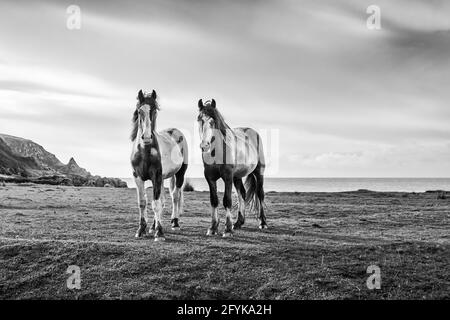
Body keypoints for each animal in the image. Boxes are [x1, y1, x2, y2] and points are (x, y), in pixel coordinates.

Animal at [130, 89, 188, 240]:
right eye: (139, 111)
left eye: (154, 110)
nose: (146, 137)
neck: (145, 152)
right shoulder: (138, 177)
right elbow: (143, 203)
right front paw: (141, 229)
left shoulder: (156, 176)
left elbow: (155, 204)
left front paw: (160, 233)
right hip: (161, 179)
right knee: (162, 200)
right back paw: (153, 226)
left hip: (180, 174)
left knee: (175, 196)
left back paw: (175, 223)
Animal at [197, 98, 268, 238]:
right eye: (200, 120)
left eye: (213, 121)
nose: (204, 145)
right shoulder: (210, 178)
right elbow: (214, 200)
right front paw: (213, 228)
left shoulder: (228, 176)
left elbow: (227, 200)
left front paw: (228, 229)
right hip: (237, 177)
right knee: (242, 194)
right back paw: (239, 223)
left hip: (259, 173)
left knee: (260, 194)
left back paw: (262, 223)